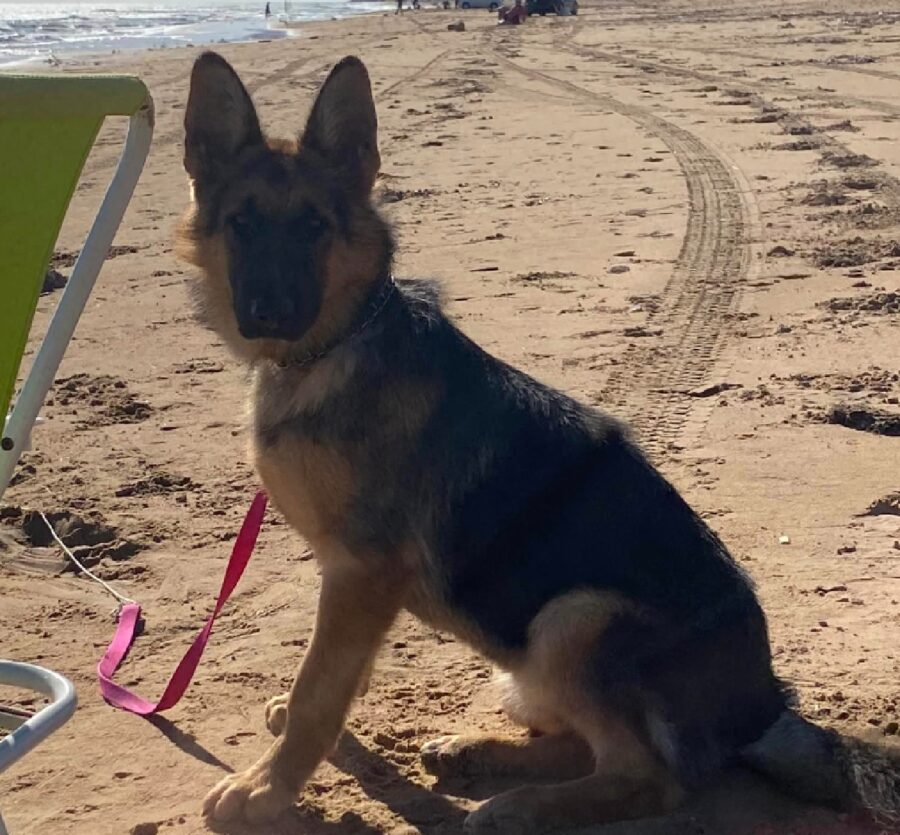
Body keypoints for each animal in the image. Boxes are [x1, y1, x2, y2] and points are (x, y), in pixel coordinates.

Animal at [179, 50, 896, 828]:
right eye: (241, 224)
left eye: (313, 225)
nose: (267, 312)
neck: (331, 348)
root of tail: (765, 707)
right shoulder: (353, 583)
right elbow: (337, 676)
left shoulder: (361, 572)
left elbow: (320, 689)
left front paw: (266, 787)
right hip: (526, 662)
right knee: (580, 743)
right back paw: (477, 753)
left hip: (574, 617)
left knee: (647, 777)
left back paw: (516, 805)